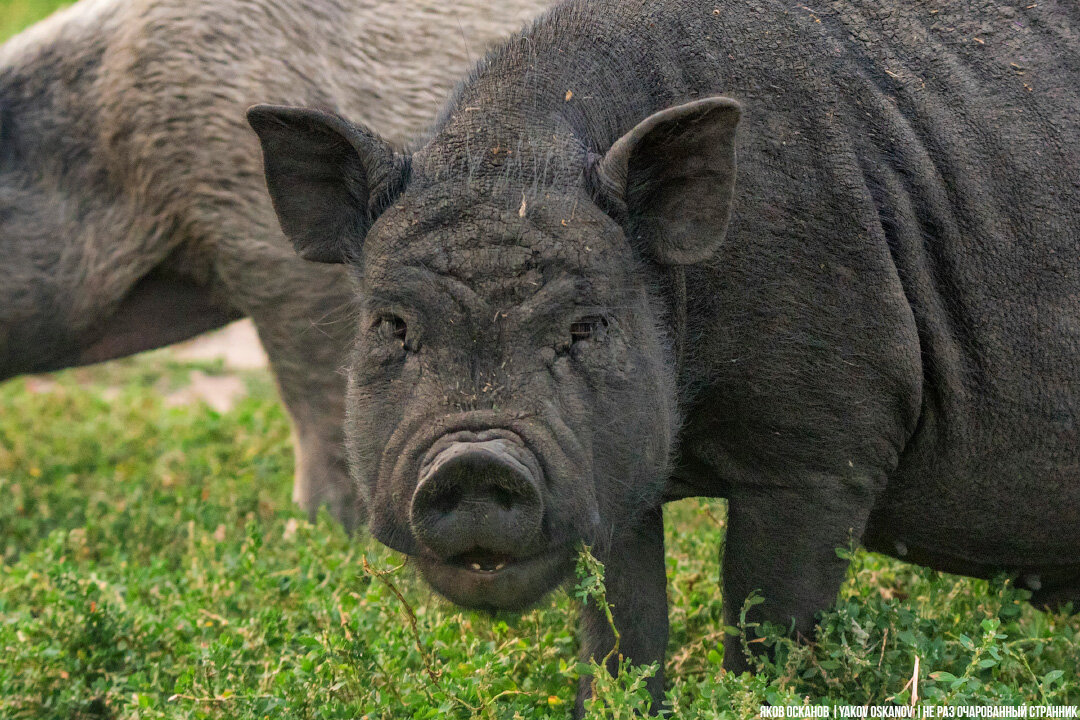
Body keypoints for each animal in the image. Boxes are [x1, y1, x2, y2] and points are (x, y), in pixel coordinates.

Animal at [248, 0, 1075, 712]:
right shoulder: (618, 488)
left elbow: (768, 624)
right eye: (391, 325)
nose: (475, 460)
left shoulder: (825, 452)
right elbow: (623, 633)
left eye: (587, 326)